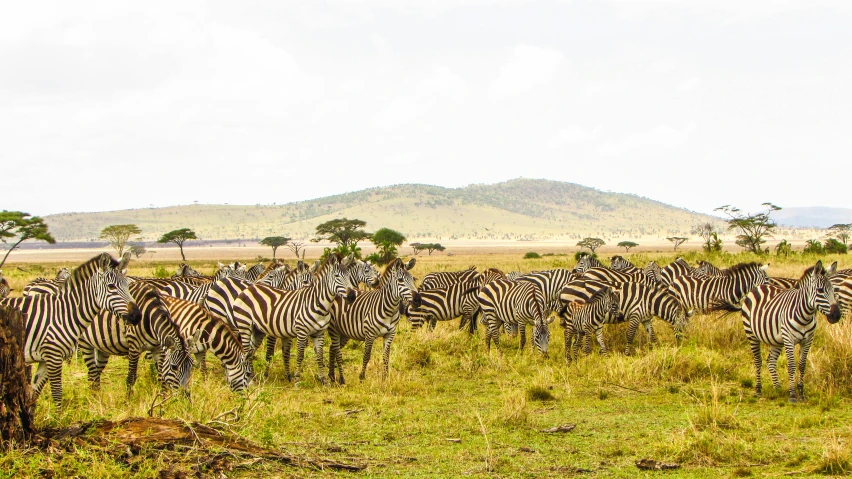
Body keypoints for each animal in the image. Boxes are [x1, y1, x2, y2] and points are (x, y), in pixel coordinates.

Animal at [0, 255, 141, 408]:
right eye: (111, 287)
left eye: (127, 285)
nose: (137, 315)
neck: (63, 314)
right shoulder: (53, 356)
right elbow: (57, 393)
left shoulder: (45, 358)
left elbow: (34, 393)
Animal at [231, 251, 354, 382]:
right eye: (337, 276)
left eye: (349, 276)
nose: (352, 296)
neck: (318, 304)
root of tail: (249, 288)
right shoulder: (301, 332)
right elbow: (299, 355)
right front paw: (296, 379)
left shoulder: (318, 333)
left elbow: (319, 356)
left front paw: (324, 381)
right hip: (244, 325)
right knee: (246, 350)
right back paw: (249, 377)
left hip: (257, 330)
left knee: (250, 351)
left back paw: (252, 376)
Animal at [326, 256, 420, 384]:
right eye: (400, 280)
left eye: (413, 279)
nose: (418, 300)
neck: (389, 310)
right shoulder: (369, 335)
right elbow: (366, 355)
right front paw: (362, 377)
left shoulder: (390, 334)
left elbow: (386, 356)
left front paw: (385, 377)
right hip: (334, 330)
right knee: (335, 349)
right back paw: (335, 377)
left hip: (344, 333)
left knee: (332, 348)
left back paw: (331, 376)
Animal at [560, 282, 692, 356]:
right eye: (683, 327)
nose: (685, 346)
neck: (650, 302)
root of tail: (564, 288)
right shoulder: (635, 315)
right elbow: (630, 335)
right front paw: (627, 354)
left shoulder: (646, 319)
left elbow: (652, 335)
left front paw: (655, 350)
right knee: (569, 335)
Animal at [708, 262, 844, 402]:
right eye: (820, 290)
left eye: (834, 290)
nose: (836, 315)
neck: (805, 315)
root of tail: (759, 286)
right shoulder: (789, 339)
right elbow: (791, 366)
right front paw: (792, 395)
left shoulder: (808, 340)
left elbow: (802, 365)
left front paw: (801, 393)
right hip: (751, 334)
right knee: (758, 361)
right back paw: (758, 390)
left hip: (776, 339)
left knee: (771, 361)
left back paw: (778, 388)